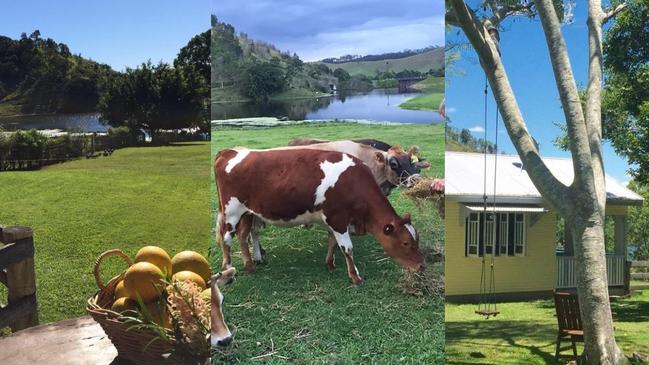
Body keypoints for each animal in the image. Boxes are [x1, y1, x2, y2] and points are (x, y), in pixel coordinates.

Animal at [214, 146, 426, 282]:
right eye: (406, 243)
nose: (422, 266)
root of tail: (229, 151)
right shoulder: (338, 218)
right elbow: (347, 248)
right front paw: (355, 276)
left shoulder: (333, 220)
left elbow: (332, 242)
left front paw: (330, 264)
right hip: (232, 211)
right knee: (227, 238)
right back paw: (228, 266)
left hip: (248, 212)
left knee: (243, 236)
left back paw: (251, 265)